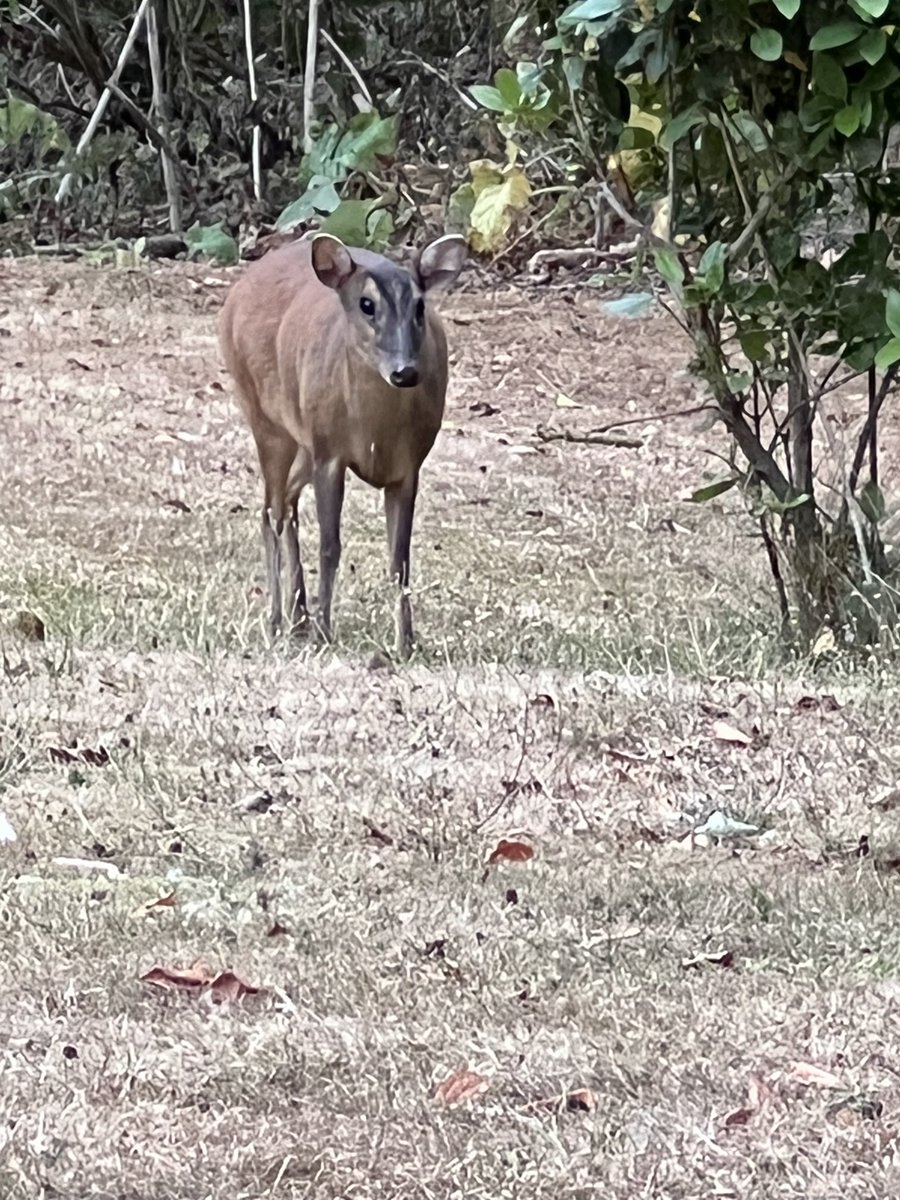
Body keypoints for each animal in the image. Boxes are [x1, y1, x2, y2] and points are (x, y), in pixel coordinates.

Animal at [218, 230, 467, 659]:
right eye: (366, 304)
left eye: (420, 306)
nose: (405, 371)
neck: (375, 434)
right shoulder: (330, 452)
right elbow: (330, 546)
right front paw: (324, 631)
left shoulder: (409, 466)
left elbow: (400, 560)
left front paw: (406, 643)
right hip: (265, 419)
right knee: (272, 512)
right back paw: (279, 619)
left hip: (302, 441)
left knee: (286, 505)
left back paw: (299, 616)